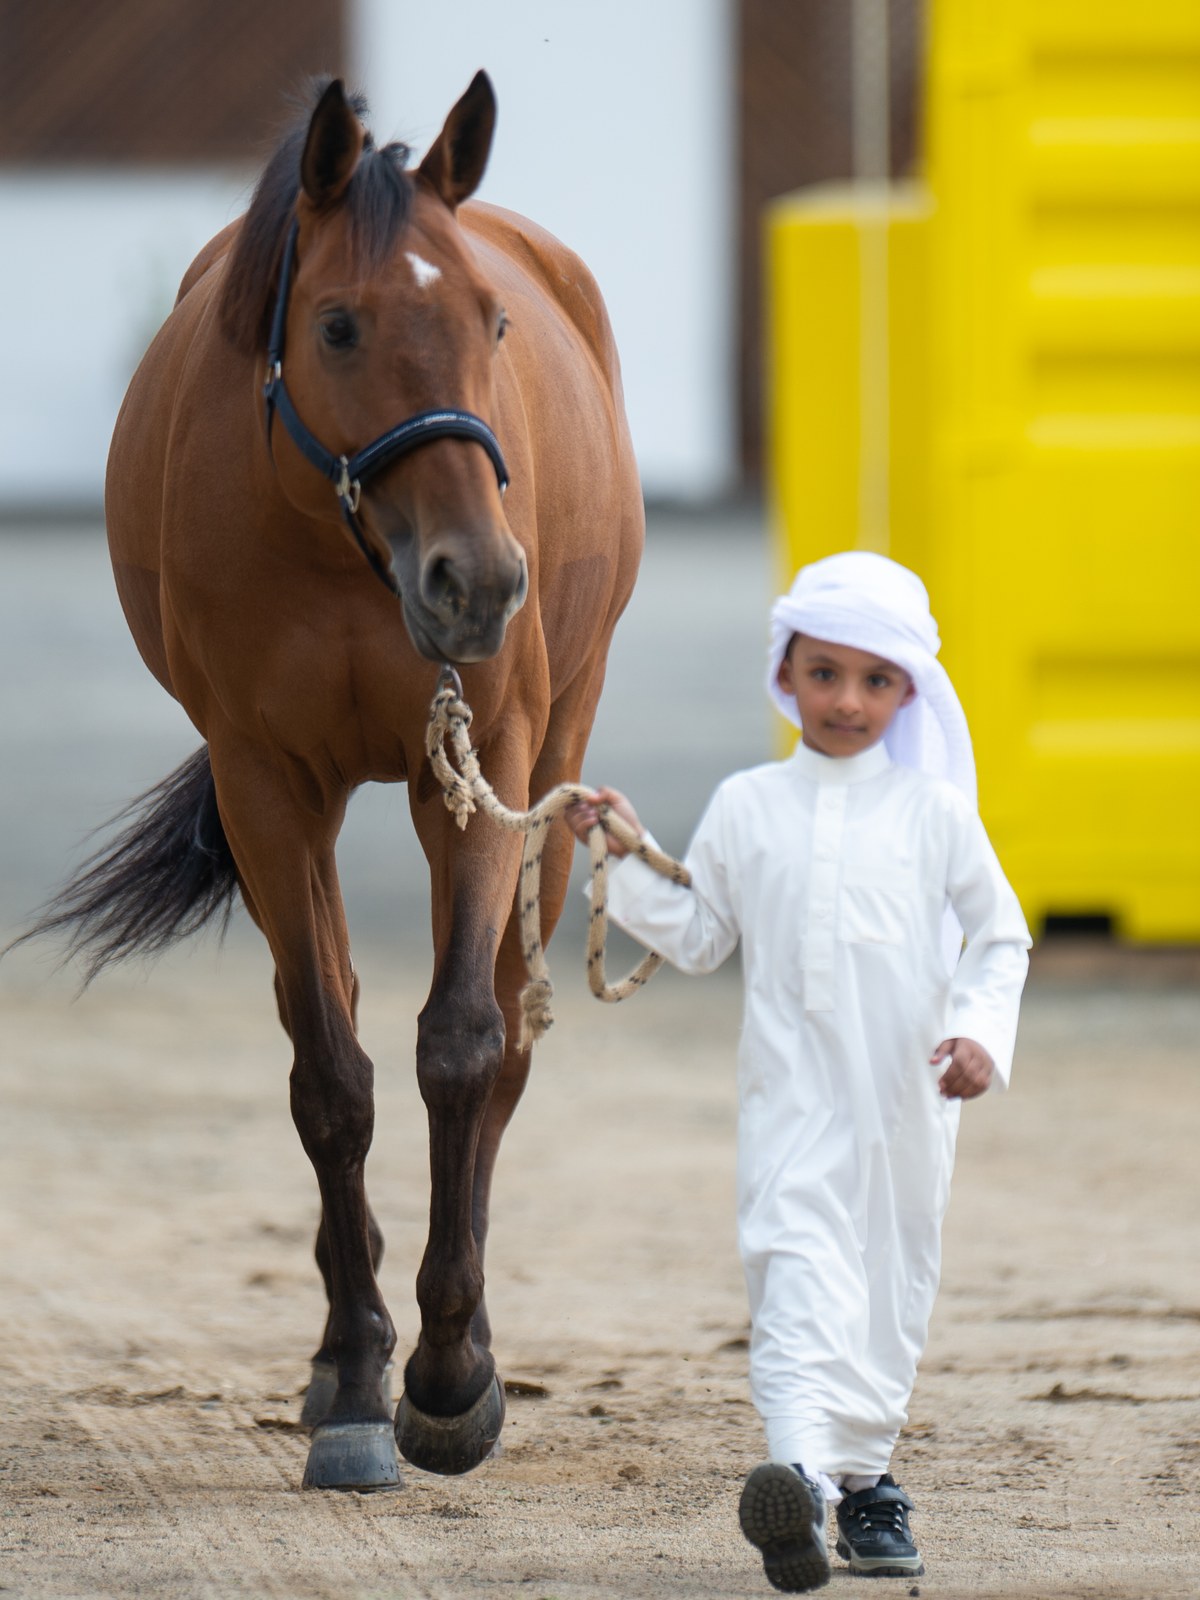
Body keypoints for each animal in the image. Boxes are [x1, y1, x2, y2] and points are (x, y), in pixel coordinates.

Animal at [26, 72, 644, 1490]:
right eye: (341, 324)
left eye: (492, 319)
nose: (480, 581)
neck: (339, 542)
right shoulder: (266, 784)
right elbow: (330, 1073)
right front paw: (360, 1381)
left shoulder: (485, 758)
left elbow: (462, 1046)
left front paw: (452, 1378)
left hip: (552, 761)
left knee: (508, 1027)